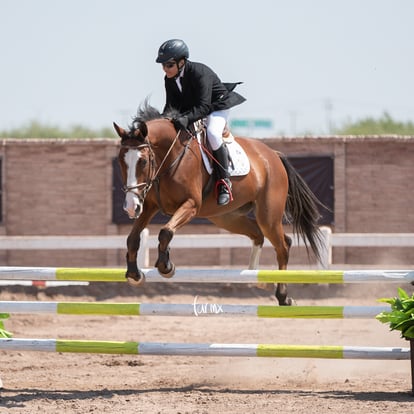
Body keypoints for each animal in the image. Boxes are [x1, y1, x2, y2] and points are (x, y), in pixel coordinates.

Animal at [115, 102, 326, 304]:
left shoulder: (190, 205)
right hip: (227, 218)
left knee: (282, 246)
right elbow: (132, 238)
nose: (129, 207)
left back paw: (282, 296)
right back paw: (258, 280)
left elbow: (166, 232)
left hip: (268, 216)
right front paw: (134, 274)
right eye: (120, 161)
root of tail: (273, 155)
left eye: (143, 161)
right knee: (258, 235)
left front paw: (166, 266)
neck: (170, 157)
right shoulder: (149, 206)